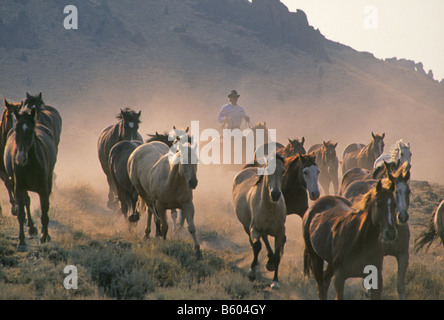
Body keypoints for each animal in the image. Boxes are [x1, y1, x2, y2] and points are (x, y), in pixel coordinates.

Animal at [3, 109, 57, 251]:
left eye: (31, 131)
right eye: (17, 130)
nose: (20, 158)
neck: (30, 164)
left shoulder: (44, 189)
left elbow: (44, 210)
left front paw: (44, 237)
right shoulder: (18, 188)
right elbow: (21, 214)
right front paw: (22, 242)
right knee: (27, 201)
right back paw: (32, 228)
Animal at [232, 154, 288, 288]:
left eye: (283, 171)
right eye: (268, 170)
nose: (275, 194)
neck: (270, 208)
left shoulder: (280, 232)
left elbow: (277, 255)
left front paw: (275, 282)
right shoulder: (254, 228)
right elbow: (257, 246)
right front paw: (251, 273)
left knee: (265, 239)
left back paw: (270, 261)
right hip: (246, 226)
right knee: (254, 243)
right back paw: (257, 264)